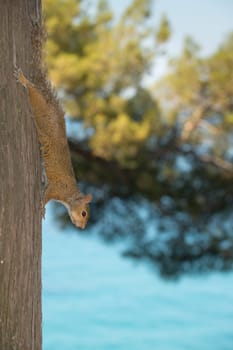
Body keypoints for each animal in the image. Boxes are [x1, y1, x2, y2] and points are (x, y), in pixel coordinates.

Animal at [13, 22, 92, 230]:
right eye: (84, 213)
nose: (81, 227)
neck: (71, 194)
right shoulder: (56, 188)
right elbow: (45, 196)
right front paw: (41, 209)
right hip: (39, 107)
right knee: (33, 91)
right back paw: (24, 80)